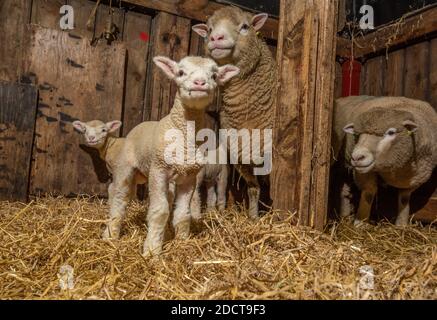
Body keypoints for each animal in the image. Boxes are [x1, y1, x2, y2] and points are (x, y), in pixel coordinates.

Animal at [192, 6, 276, 219]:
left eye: (245, 26)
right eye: (209, 29)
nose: (216, 37)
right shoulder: (240, 156)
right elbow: (253, 189)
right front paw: (253, 218)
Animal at [332, 96, 434, 226]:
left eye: (391, 132)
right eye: (357, 134)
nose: (357, 157)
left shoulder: (414, 179)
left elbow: (404, 199)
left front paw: (401, 224)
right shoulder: (363, 173)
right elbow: (369, 192)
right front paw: (361, 222)